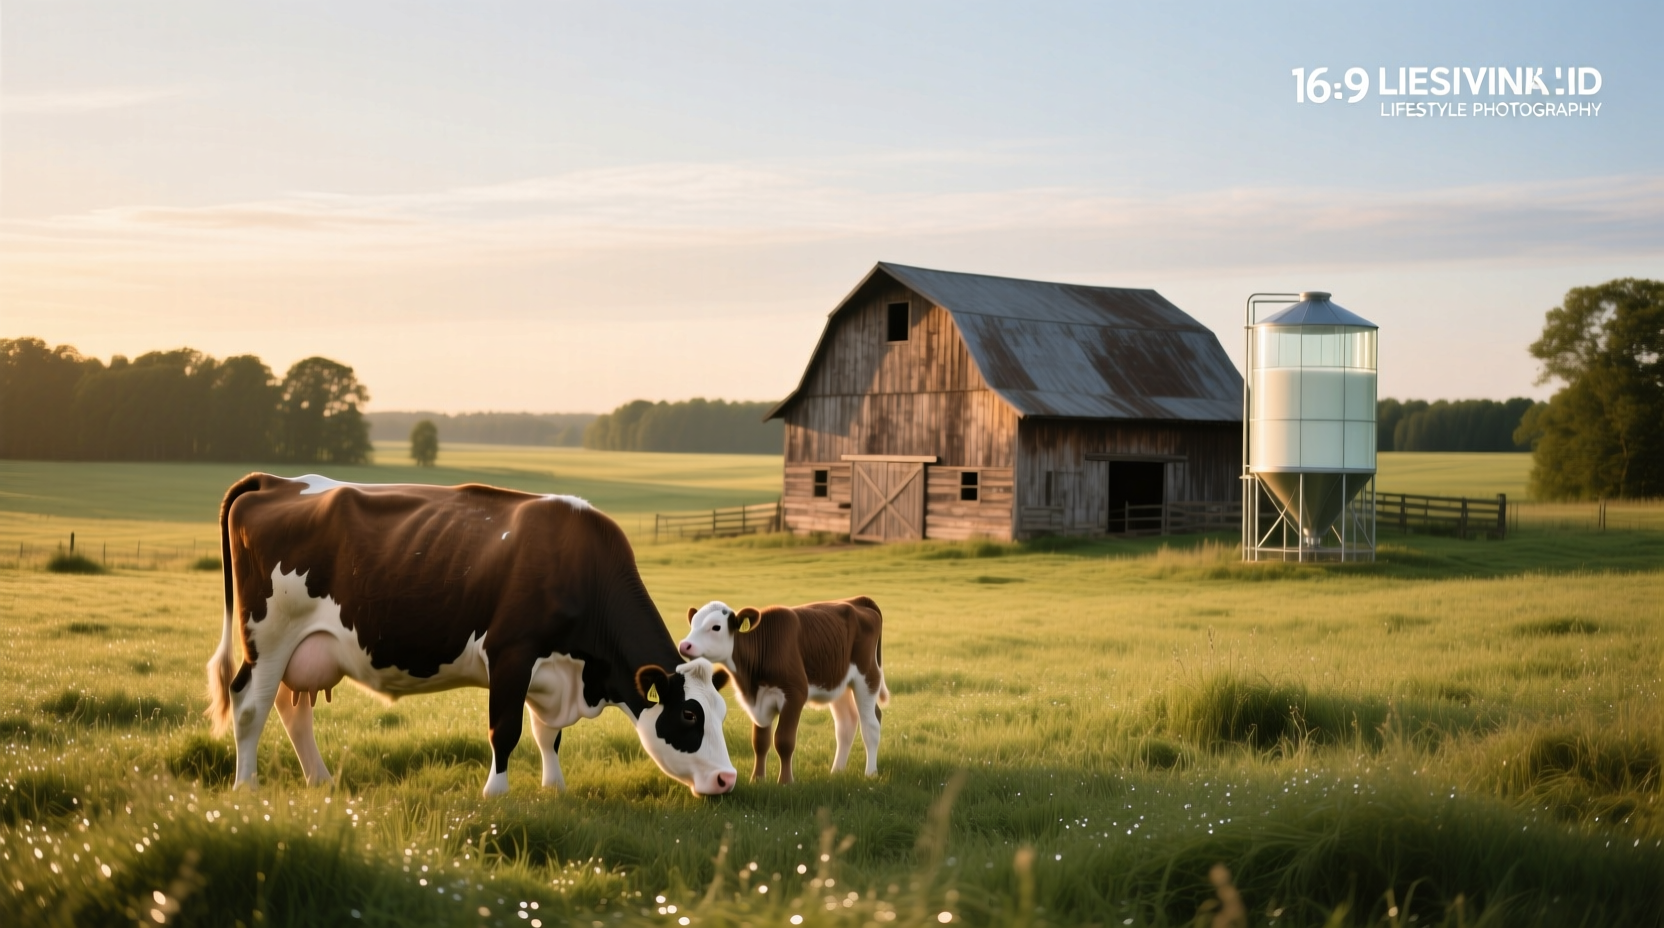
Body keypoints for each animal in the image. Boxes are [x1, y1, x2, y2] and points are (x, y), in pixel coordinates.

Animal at [205, 474, 737, 797]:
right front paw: (496, 793)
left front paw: (554, 787)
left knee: (291, 708)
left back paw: (320, 781)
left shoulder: (550, 670)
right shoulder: (511, 653)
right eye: (689, 715)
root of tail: (278, 482)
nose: (727, 778)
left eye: (722, 712)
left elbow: (548, 735)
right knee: (250, 704)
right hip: (269, 635)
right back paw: (246, 787)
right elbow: (506, 729)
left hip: (303, 648)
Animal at [678, 597, 887, 784]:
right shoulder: (759, 702)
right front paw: (757, 780)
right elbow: (760, 742)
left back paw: (870, 773)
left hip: (867, 676)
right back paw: (836, 771)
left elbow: (784, 741)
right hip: (838, 683)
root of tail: (856, 601)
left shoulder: (794, 694)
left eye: (716, 627)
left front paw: (785, 782)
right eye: (692, 624)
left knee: (871, 724)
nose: (684, 645)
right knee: (846, 724)